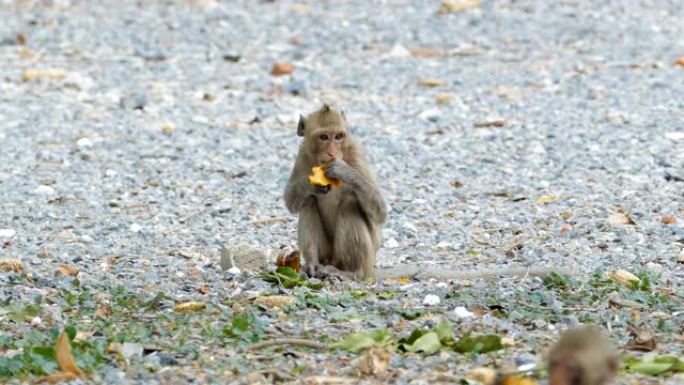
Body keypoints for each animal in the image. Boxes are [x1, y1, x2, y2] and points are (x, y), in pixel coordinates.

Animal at [284, 104, 388, 280]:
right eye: (324, 137)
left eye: (338, 136)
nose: (332, 153)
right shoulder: (302, 154)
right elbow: (290, 201)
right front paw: (309, 183)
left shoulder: (356, 153)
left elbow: (380, 212)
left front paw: (344, 171)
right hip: (327, 255)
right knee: (308, 202)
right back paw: (312, 265)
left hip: (365, 262)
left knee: (349, 203)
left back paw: (352, 272)